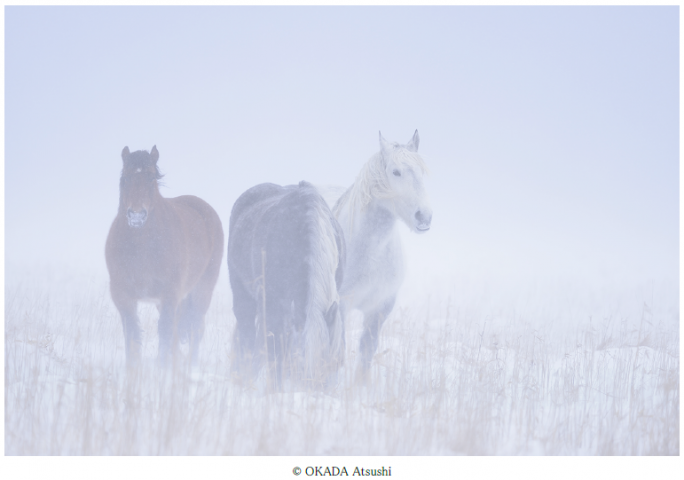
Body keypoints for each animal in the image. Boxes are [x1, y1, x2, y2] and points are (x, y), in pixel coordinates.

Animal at [104, 146, 223, 368]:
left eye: (152, 178)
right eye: (125, 178)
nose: (136, 216)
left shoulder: (170, 294)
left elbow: (165, 335)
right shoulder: (123, 297)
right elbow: (132, 335)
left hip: (202, 290)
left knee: (195, 328)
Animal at [228, 181, 348, 390]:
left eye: (335, 365)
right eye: (299, 368)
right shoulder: (273, 306)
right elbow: (274, 353)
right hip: (243, 295)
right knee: (247, 334)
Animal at [332, 130, 432, 376]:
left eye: (421, 172)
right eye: (395, 172)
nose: (424, 216)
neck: (371, 254)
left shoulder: (381, 308)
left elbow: (366, 354)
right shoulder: (342, 305)